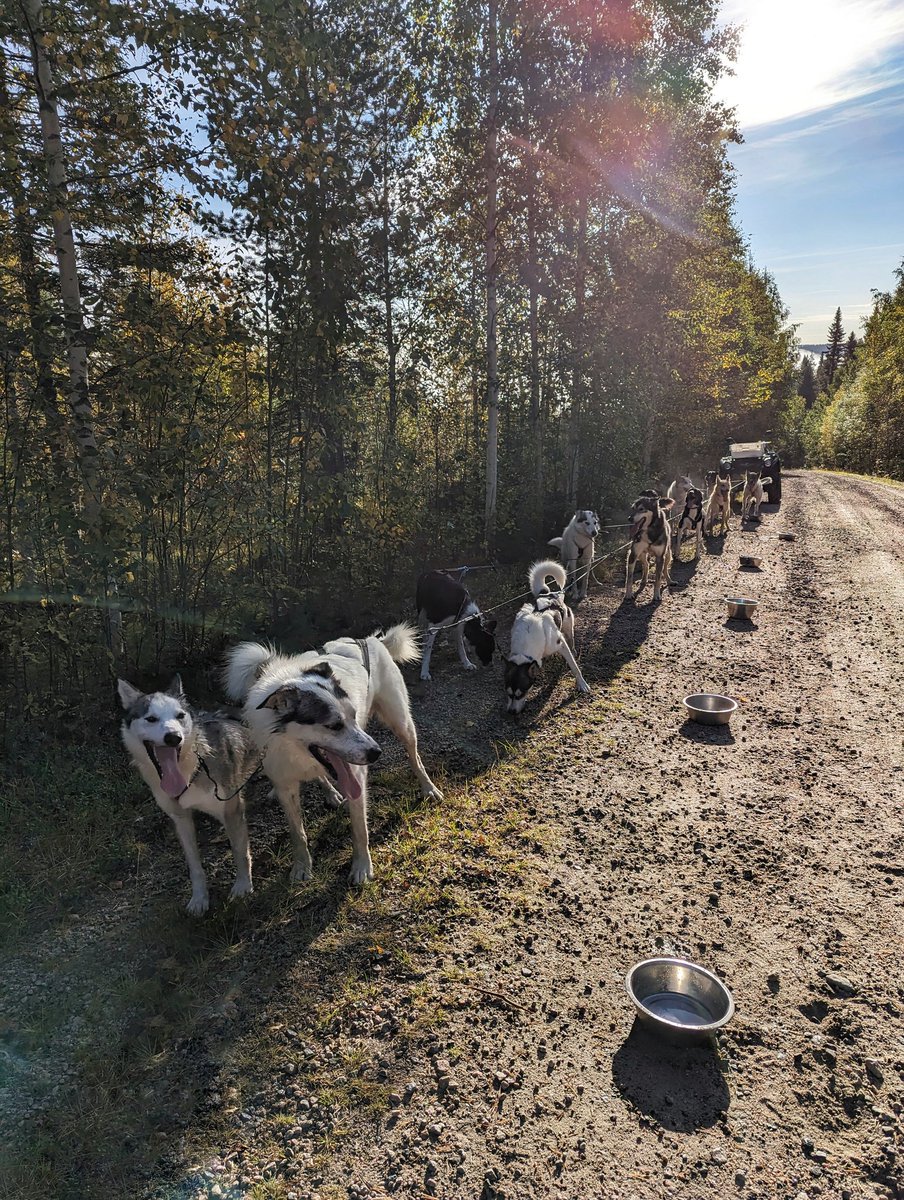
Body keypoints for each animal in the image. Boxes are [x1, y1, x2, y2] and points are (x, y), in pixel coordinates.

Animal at [116, 676, 256, 916]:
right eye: (151, 718)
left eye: (180, 715)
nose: (173, 737)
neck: (190, 770)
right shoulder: (181, 819)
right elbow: (195, 867)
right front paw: (199, 900)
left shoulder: (232, 810)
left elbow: (239, 852)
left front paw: (243, 887)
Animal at [222, 624, 441, 888]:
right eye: (334, 725)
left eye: (353, 716)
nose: (376, 753)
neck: (293, 746)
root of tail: (372, 640)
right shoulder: (286, 786)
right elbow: (298, 834)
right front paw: (302, 866)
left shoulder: (356, 774)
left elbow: (359, 829)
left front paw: (361, 866)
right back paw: (331, 792)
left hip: (402, 724)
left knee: (415, 758)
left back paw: (428, 788)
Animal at [501, 559, 593, 710]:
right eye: (508, 693)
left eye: (522, 692)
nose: (511, 712)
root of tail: (548, 594)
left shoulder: (561, 644)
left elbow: (575, 667)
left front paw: (582, 684)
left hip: (568, 625)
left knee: (571, 639)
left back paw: (573, 650)